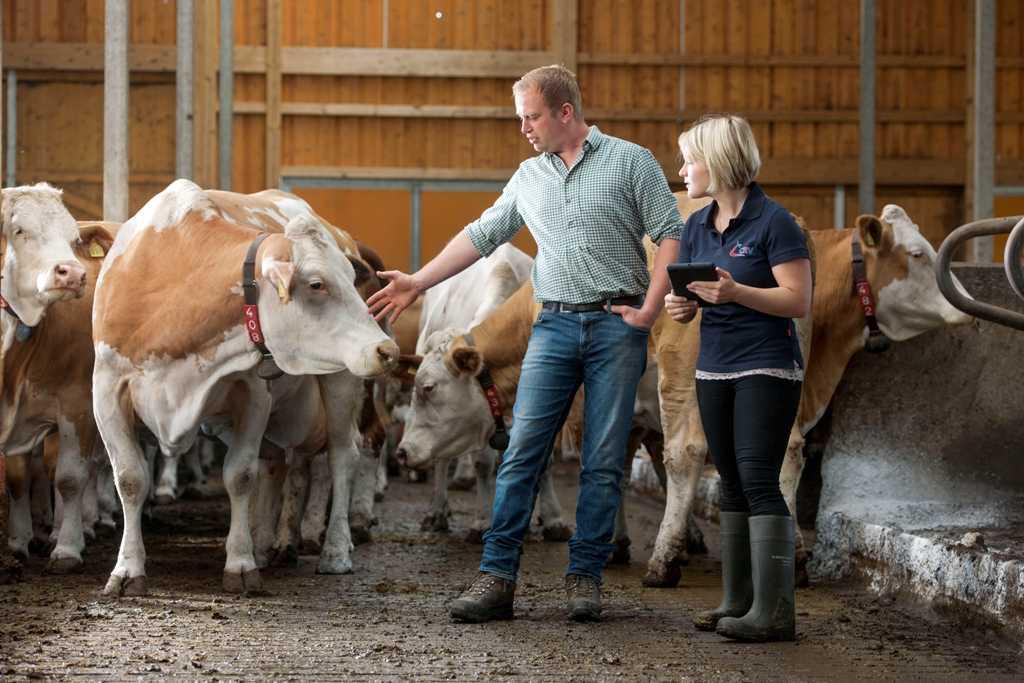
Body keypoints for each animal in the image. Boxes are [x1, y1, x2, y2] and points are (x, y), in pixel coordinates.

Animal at [92, 179, 397, 593]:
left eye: (350, 280)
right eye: (317, 283)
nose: (386, 349)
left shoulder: (253, 392)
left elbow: (239, 475)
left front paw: (239, 564)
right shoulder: (106, 388)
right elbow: (129, 478)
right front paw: (127, 570)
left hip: (341, 380)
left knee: (342, 454)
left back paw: (335, 549)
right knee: (280, 462)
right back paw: (269, 543)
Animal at [643, 197, 970, 589]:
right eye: (918, 253)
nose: (964, 304)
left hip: (683, 375)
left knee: (684, 453)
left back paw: (664, 561)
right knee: (784, 449)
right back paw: (791, 559)